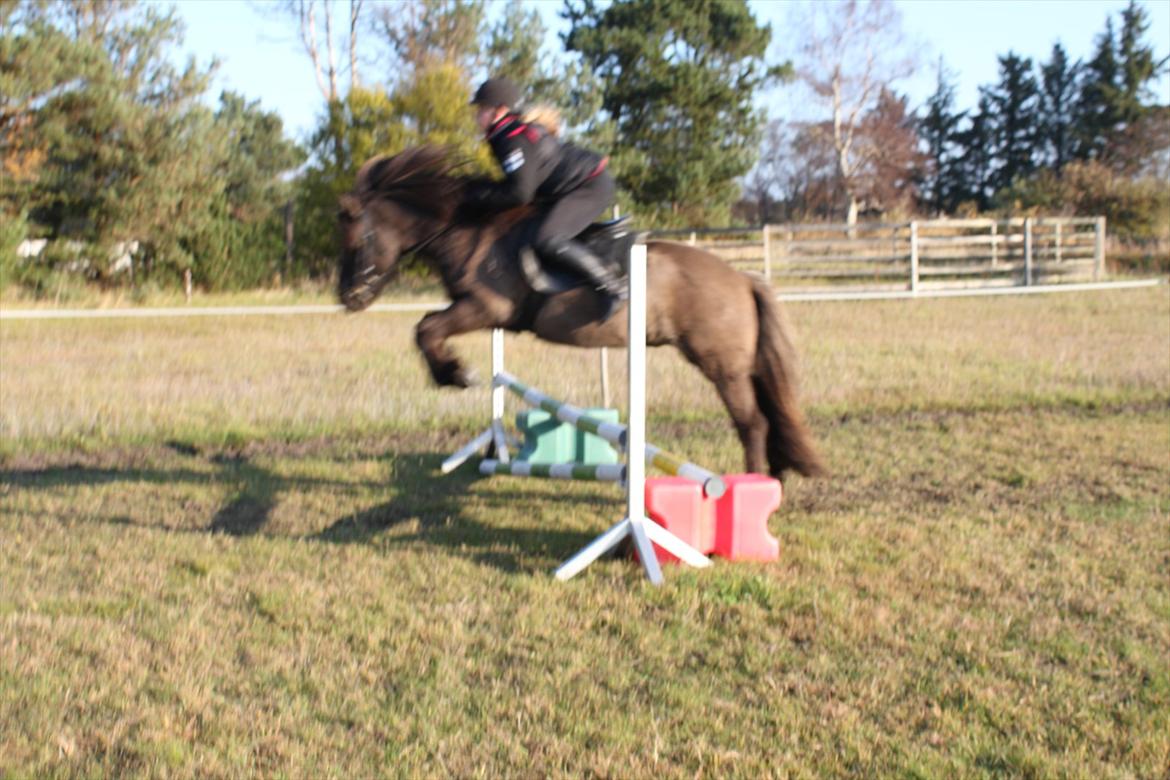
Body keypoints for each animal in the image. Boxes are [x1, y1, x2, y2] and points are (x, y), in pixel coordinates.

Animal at [334, 143, 828, 479]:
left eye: (358, 239)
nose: (348, 298)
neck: (466, 230)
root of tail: (743, 279)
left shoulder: (484, 307)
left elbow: (426, 329)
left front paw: (455, 374)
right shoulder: (478, 311)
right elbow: (425, 327)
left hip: (721, 365)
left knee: (752, 421)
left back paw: (753, 484)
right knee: (767, 416)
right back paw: (774, 480)